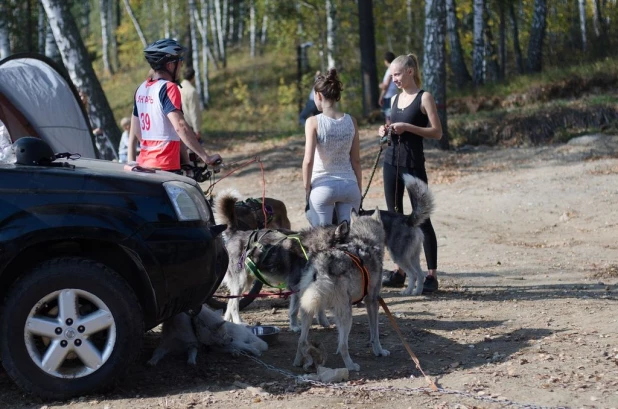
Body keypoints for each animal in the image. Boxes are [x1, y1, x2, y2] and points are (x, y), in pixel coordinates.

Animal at [213, 190, 346, 330]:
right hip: (241, 282)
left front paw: (323, 322)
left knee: (229, 303)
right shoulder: (295, 286)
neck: (311, 248)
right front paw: (295, 327)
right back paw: (239, 322)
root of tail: (236, 233)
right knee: (233, 305)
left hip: (244, 282)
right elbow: (294, 310)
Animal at [292, 209, 388, 372]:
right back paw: (351, 366)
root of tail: (320, 265)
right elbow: (374, 334)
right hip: (347, 314)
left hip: (308, 309)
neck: (366, 240)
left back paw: (298, 362)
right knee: (344, 346)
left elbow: (339, 338)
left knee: (301, 341)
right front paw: (379, 351)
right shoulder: (372, 301)